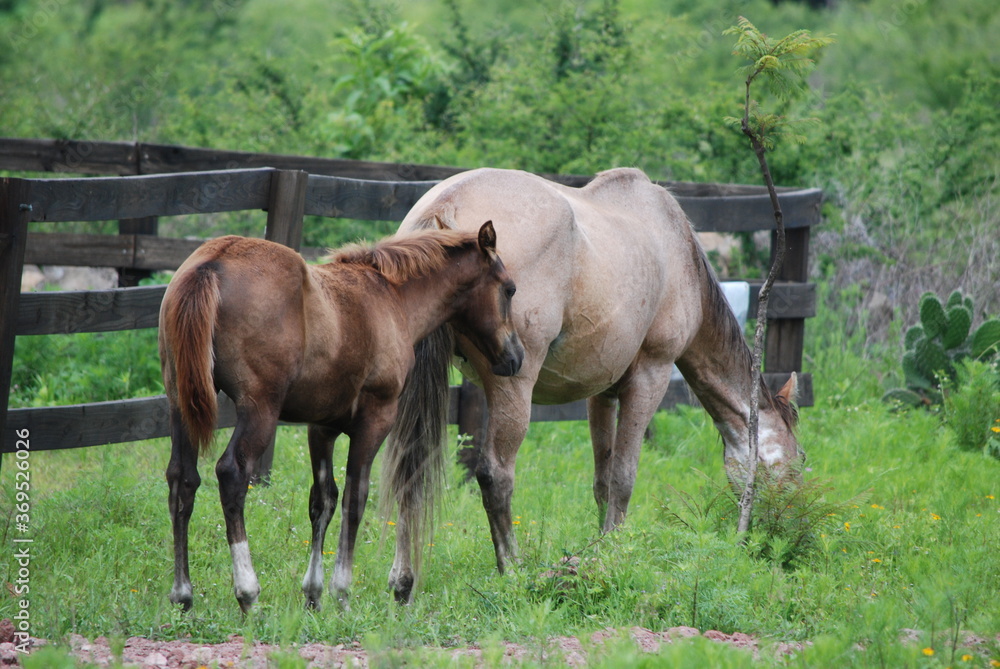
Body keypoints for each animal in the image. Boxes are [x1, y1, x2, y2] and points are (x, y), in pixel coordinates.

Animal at [158, 223, 524, 612]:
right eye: (509, 289)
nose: (516, 357)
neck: (391, 297)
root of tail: (211, 264)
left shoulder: (322, 427)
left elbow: (323, 500)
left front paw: (314, 595)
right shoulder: (375, 419)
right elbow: (354, 498)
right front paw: (342, 593)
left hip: (181, 401)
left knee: (182, 479)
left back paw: (183, 595)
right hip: (259, 408)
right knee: (232, 474)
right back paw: (248, 593)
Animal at [382, 168, 804, 604]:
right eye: (799, 460)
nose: (791, 532)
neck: (677, 252)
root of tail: (442, 208)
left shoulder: (601, 392)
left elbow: (603, 481)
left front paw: (598, 552)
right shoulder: (650, 377)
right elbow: (623, 479)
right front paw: (615, 555)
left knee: (408, 467)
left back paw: (403, 583)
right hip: (513, 385)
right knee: (495, 475)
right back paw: (512, 573)